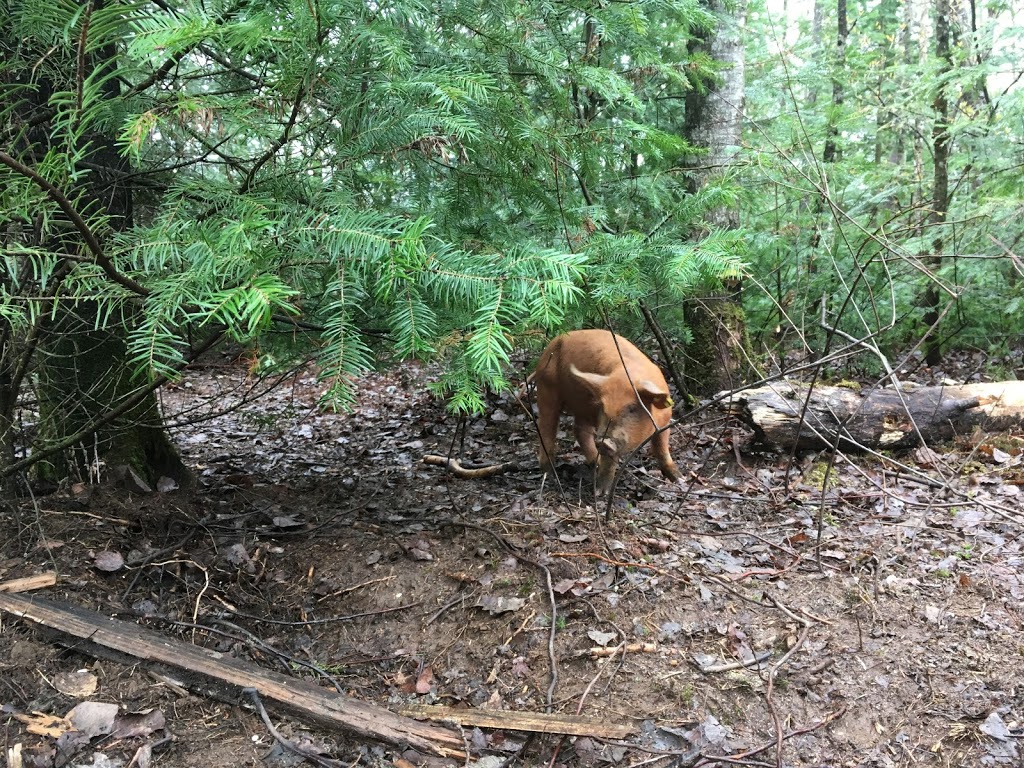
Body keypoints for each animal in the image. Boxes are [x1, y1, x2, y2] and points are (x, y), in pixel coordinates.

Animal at [528, 329, 679, 495]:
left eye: (632, 408)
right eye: (604, 407)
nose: (604, 441)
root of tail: (553, 342)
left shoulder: (665, 420)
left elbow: (662, 449)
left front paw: (678, 478)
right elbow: (609, 462)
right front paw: (601, 493)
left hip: (583, 408)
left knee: (579, 430)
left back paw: (594, 462)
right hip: (546, 388)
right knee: (546, 428)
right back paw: (549, 473)